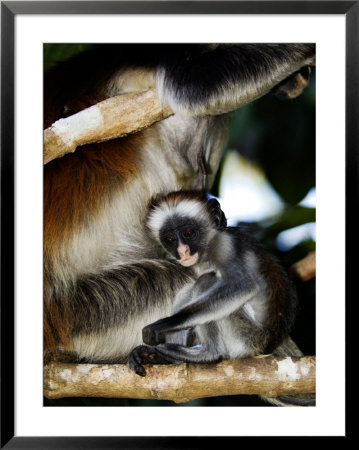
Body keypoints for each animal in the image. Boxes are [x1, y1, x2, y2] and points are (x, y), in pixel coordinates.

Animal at [129, 190, 296, 376]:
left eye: (189, 233)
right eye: (170, 239)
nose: (183, 252)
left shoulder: (225, 244)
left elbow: (244, 284)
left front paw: (163, 325)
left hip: (246, 337)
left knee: (206, 282)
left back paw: (208, 354)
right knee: (188, 290)